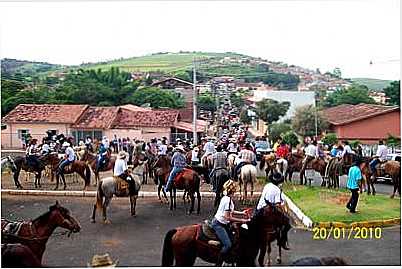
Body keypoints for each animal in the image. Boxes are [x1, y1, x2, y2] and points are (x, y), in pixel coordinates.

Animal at [162, 204, 290, 264]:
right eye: (276, 212)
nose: (287, 220)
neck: (249, 234)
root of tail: (177, 230)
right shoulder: (245, 261)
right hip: (184, 260)